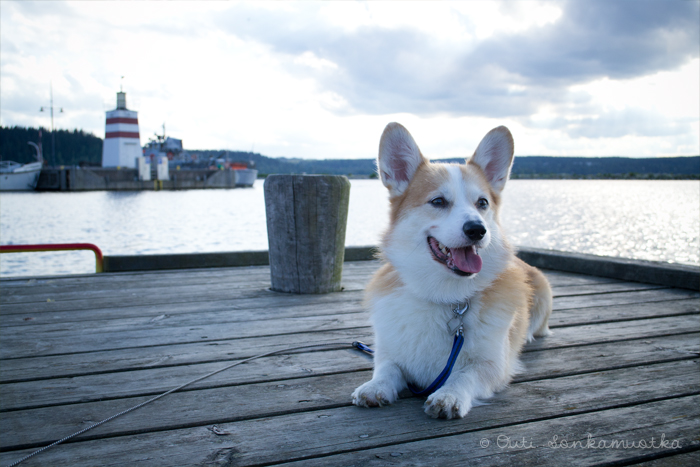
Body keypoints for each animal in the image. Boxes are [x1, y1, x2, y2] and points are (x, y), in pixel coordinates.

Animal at [352, 123, 556, 420]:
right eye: (438, 201)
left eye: (482, 203)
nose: (477, 230)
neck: (446, 296)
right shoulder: (388, 351)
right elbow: (388, 369)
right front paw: (374, 387)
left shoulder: (493, 365)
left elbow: (464, 375)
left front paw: (449, 396)